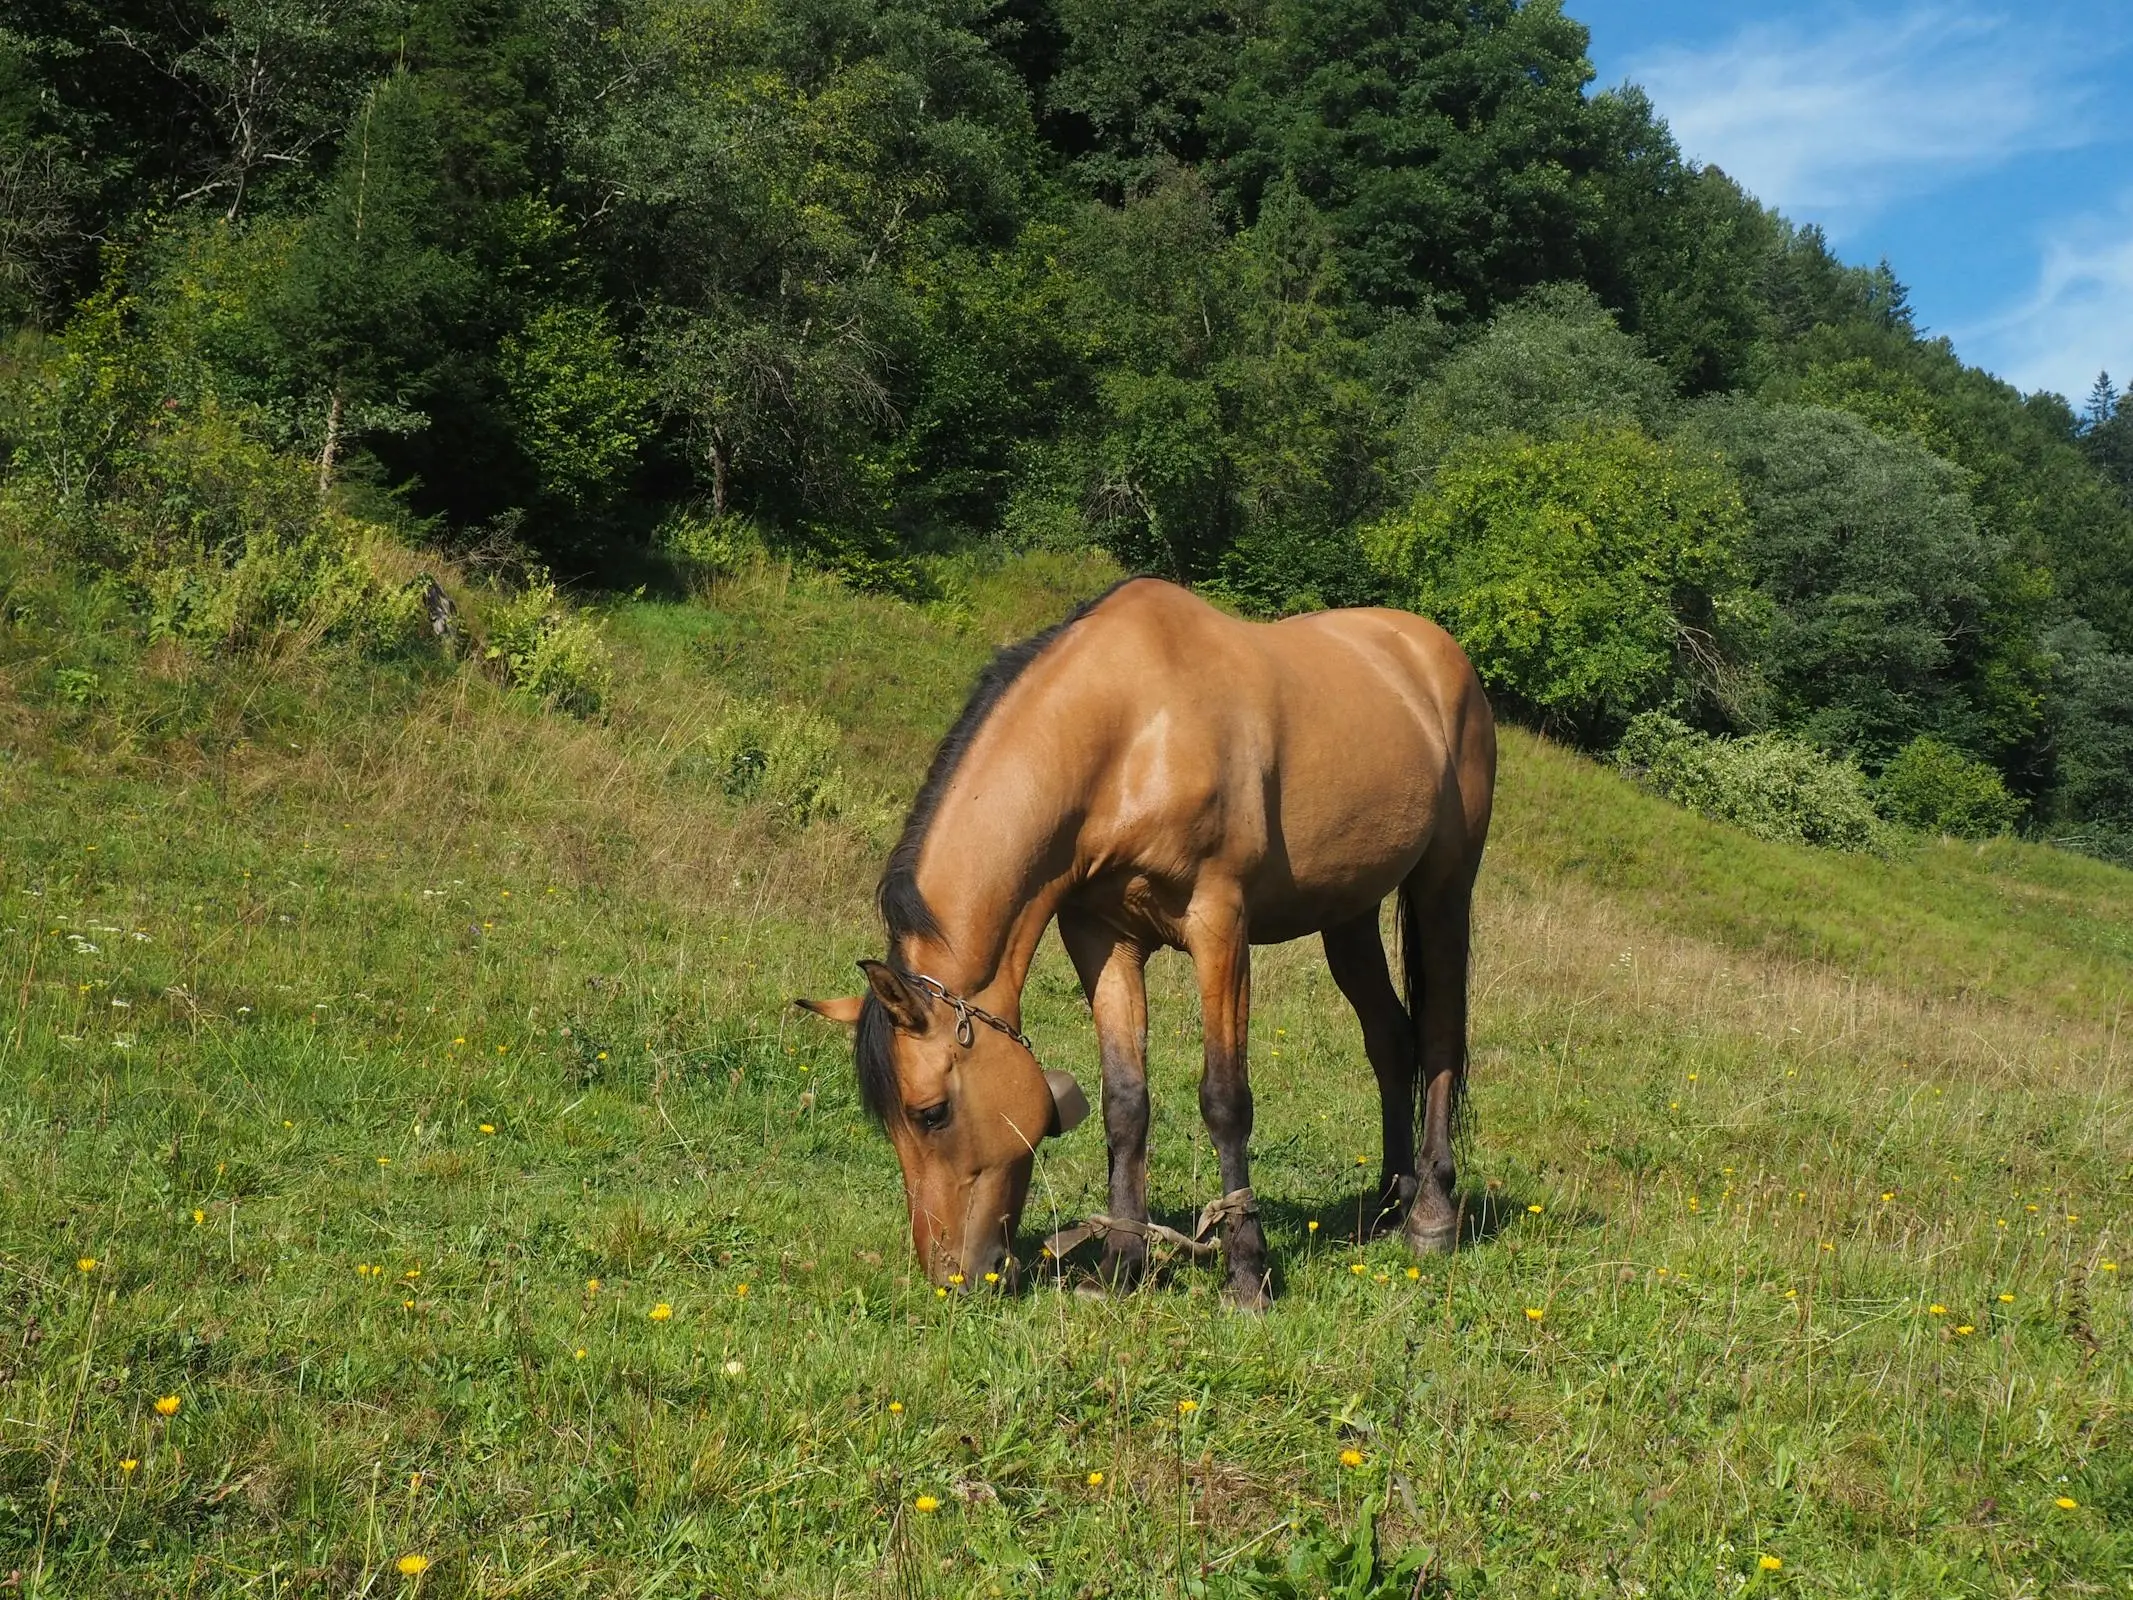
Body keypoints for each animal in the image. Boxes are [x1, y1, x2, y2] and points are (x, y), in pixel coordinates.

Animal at [802, 584, 1501, 1305]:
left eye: (932, 1113)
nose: (953, 1277)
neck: (1131, 736)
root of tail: (1433, 651)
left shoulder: (1220, 925)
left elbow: (1225, 1100)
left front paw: (1246, 1272)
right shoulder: (1102, 937)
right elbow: (1124, 1102)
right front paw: (1120, 1263)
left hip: (1444, 884)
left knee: (1439, 1037)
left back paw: (1429, 1215)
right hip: (1350, 912)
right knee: (1390, 1041)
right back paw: (1390, 1201)